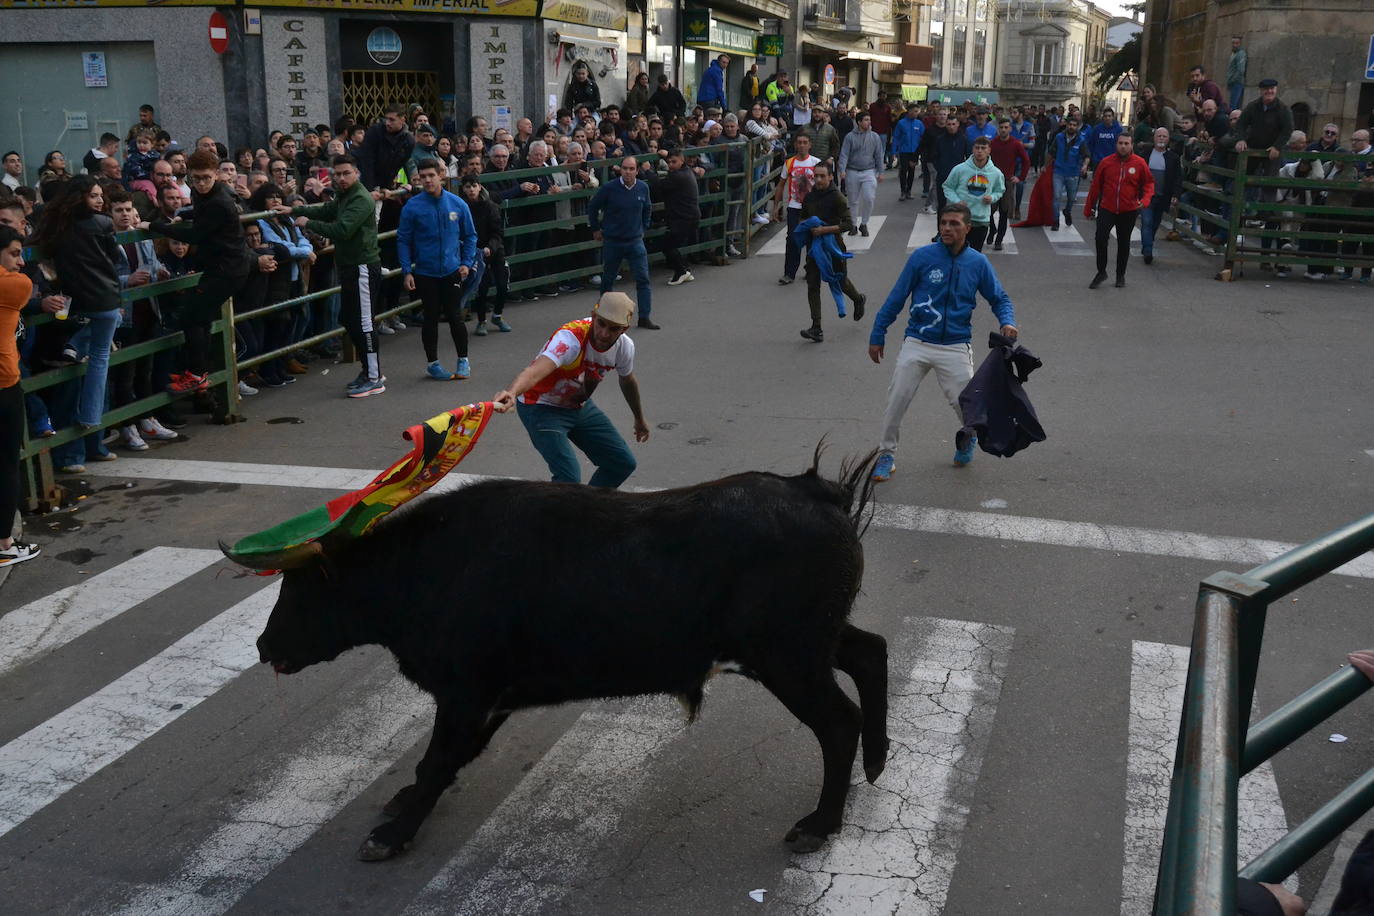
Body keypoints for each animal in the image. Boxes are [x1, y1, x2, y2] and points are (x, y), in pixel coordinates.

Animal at [219, 455, 890, 862]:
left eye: (301, 592)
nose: (264, 646)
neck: (426, 567)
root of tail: (816, 491)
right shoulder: (484, 701)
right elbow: (442, 763)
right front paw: (404, 803)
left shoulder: (465, 694)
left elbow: (436, 763)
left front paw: (393, 834)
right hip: (806, 644)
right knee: (870, 652)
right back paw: (878, 761)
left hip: (787, 658)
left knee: (839, 722)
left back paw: (820, 822)